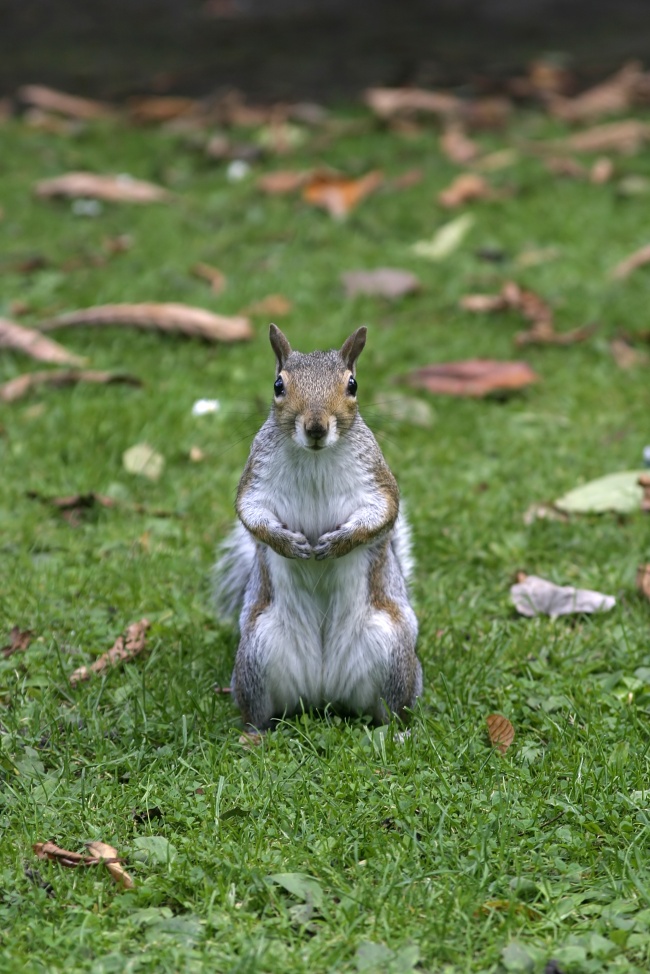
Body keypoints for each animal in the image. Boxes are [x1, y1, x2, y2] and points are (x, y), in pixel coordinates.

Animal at [213, 328, 420, 732]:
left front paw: (338, 543)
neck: (315, 457)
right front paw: (287, 543)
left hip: (393, 655)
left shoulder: (376, 482)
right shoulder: (256, 481)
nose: (316, 427)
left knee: (393, 710)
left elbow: (382, 514)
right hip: (256, 654)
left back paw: (397, 733)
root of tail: (324, 692)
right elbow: (252, 514)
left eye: (352, 384)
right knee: (257, 712)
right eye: (278, 385)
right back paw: (253, 735)